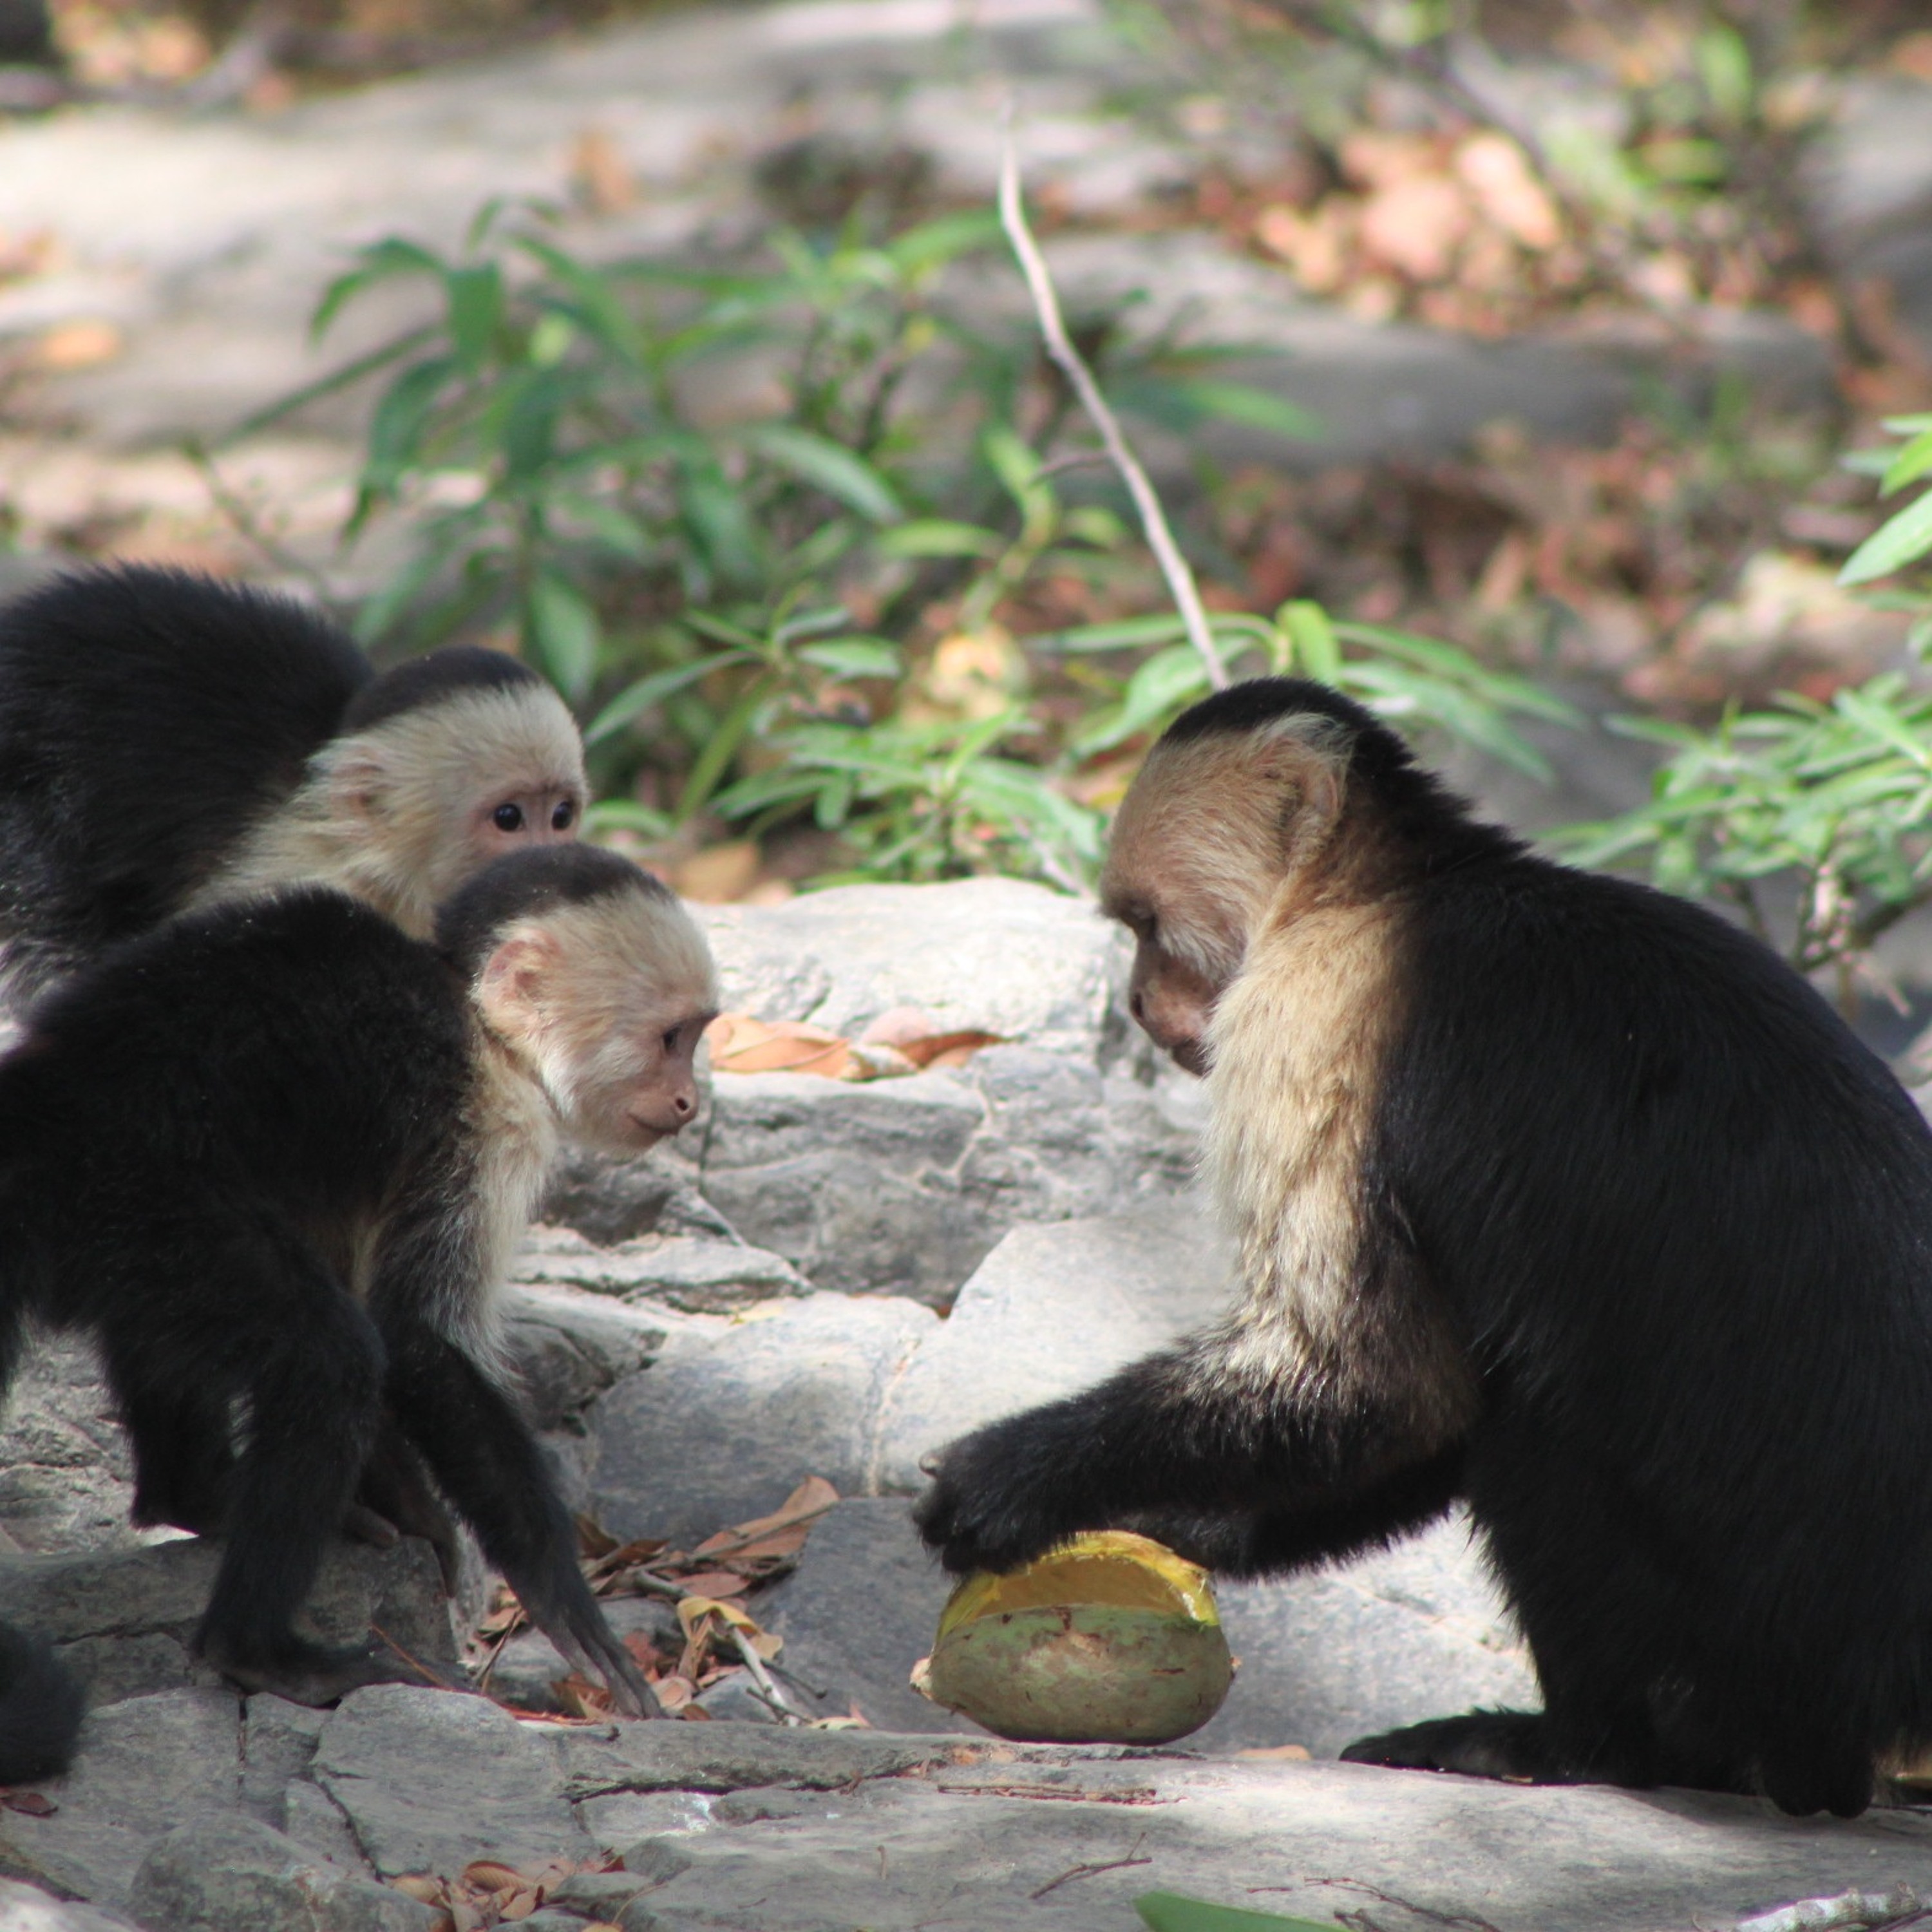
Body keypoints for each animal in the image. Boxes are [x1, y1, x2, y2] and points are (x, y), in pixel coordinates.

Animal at [0, 843, 717, 1717]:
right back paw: (257, 1652)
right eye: (670, 1038)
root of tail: (34, 1128)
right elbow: (413, 1337)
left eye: (695, 1037)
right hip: (130, 1201)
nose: (688, 1101)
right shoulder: (488, 1115)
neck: (473, 1009)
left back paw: (192, 1497)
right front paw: (558, 1596)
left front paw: (405, 1500)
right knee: (327, 1354)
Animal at [917, 675, 1932, 1819]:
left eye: (1145, 925)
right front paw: (1173, 1518)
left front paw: (1022, 1477)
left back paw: (1590, 1749)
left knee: (1533, 1442)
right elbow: (1429, 1407)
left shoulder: (1309, 1014)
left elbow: (1380, 1384)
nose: (1135, 1007)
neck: (1388, 890)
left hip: (1765, 1645)